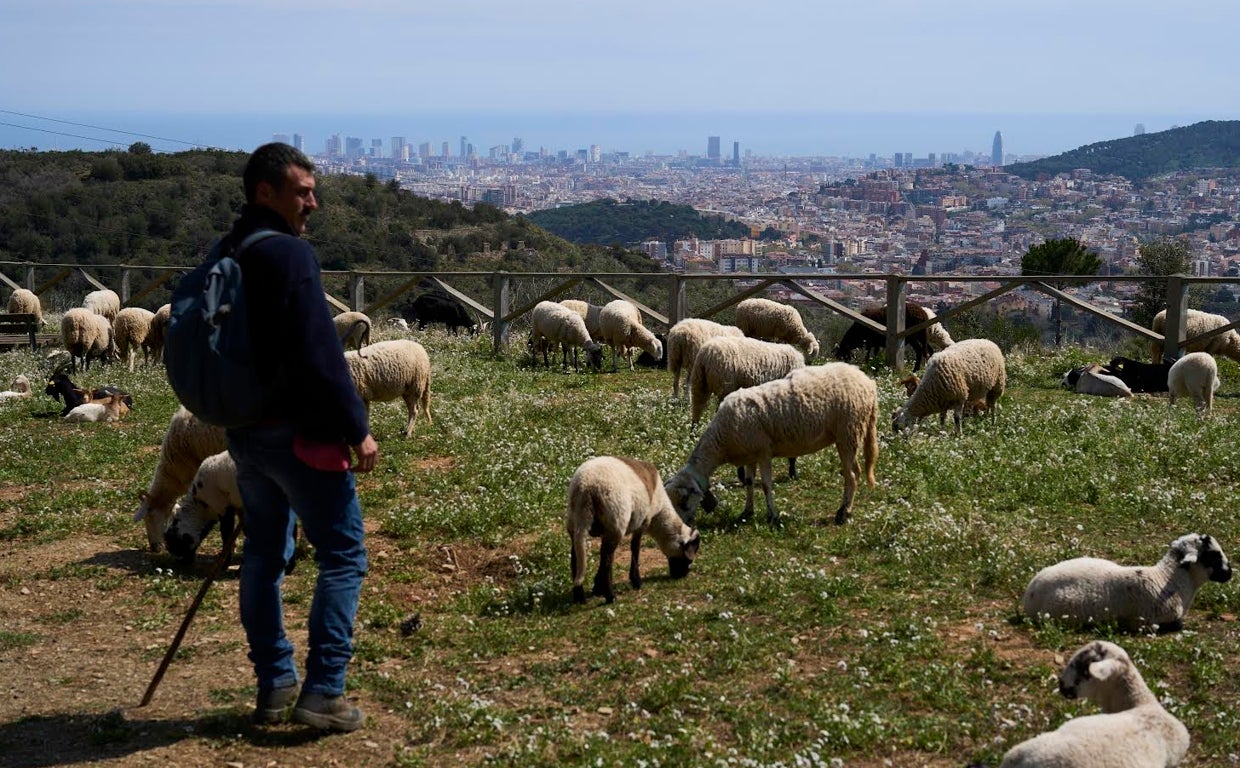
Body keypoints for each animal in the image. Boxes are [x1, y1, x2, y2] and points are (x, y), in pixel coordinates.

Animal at [567, 456, 704, 607]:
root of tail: (586, 486)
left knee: (577, 557)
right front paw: (636, 581)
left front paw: (597, 587)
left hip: (575, 522)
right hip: (615, 522)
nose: (681, 575)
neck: (659, 515)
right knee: (607, 559)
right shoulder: (643, 523)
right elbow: (635, 549)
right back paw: (610, 596)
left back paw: (579, 596)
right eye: (689, 557)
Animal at [664, 364, 877, 526]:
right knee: (856, 472)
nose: (679, 525)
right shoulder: (749, 454)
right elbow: (749, 482)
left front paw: (772, 516)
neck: (721, 440)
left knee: (851, 476)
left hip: (848, 432)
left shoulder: (763, 451)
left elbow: (766, 485)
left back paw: (842, 514)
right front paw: (747, 512)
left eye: (684, 503)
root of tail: (868, 383)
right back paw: (847, 511)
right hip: (851, 433)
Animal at [1021, 531, 1235, 635]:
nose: (1229, 573)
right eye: (1213, 555)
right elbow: (1178, 625)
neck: (1167, 579)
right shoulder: (1152, 622)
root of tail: (1030, 590)